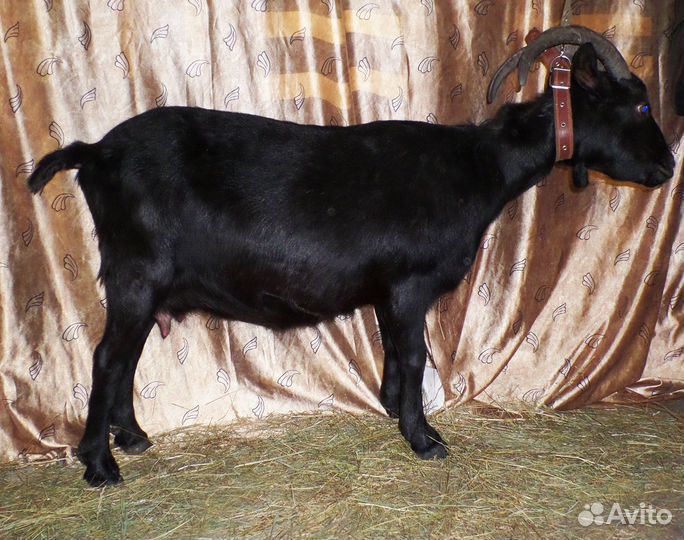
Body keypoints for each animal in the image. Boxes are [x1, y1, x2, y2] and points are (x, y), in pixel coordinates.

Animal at [27, 26, 674, 486]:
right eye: (642, 107)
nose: (667, 168)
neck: (479, 167)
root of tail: (96, 152)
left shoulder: (389, 291)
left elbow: (394, 350)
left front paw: (393, 411)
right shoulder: (410, 285)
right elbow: (414, 355)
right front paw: (425, 438)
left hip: (145, 284)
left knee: (126, 357)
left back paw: (133, 438)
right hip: (136, 275)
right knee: (107, 357)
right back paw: (100, 466)